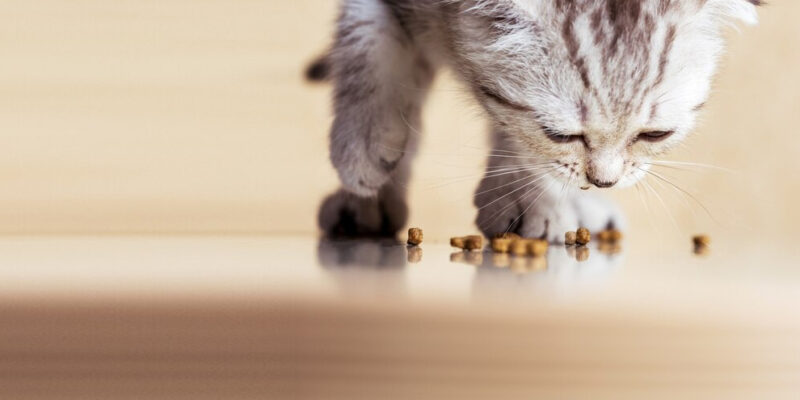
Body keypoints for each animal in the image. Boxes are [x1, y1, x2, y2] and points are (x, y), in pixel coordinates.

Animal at [314, 0, 764, 242]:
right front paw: (363, 143)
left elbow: (514, 135)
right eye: (560, 134)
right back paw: (366, 202)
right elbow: (364, 29)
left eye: (655, 134)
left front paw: (523, 197)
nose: (605, 180)